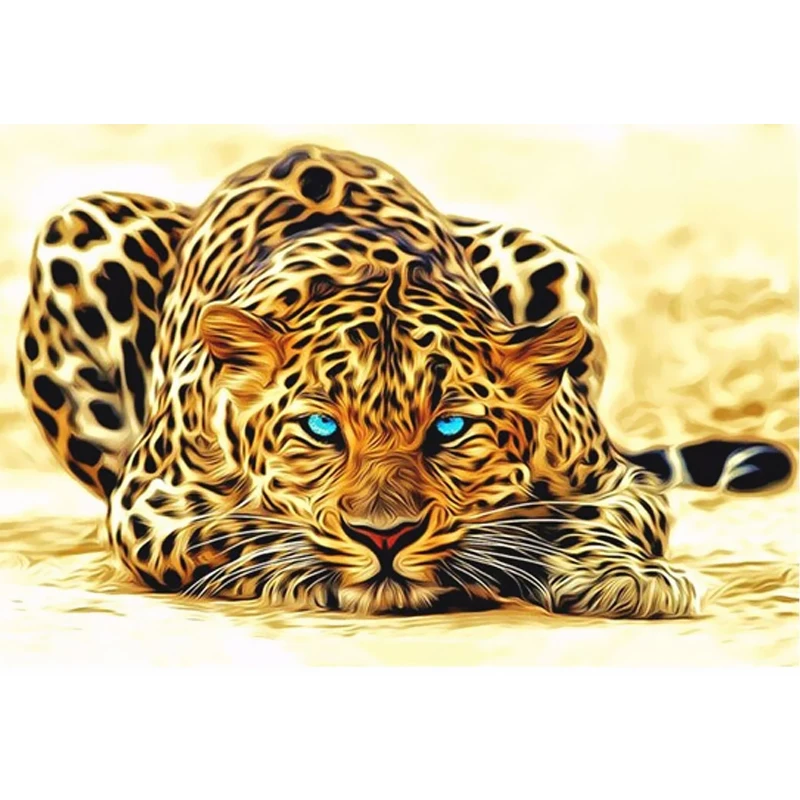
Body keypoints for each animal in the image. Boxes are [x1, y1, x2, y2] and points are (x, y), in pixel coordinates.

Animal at [16, 143, 795, 617]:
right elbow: (236, 531)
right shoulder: (150, 503)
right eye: (321, 427)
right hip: (78, 226)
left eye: (450, 428)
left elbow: (587, 517)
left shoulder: (615, 479)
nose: (384, 538)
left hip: (545, 254)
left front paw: (620, 576)